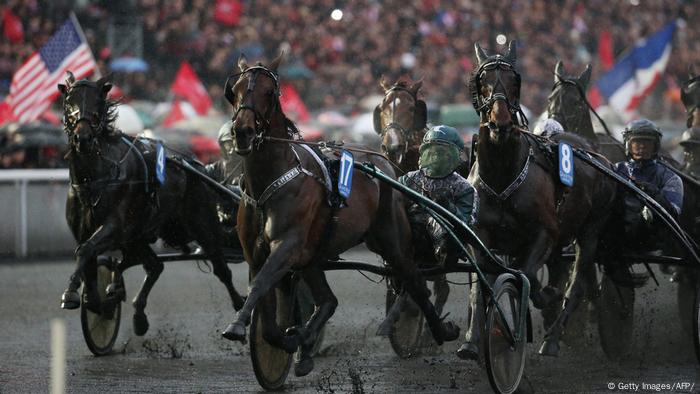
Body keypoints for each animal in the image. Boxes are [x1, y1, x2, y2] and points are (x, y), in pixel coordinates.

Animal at [60, 73, 246, 336]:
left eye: (97, 101)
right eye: (69, 101)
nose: (83, 138)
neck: (94, 179)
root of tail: (195, 167)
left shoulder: (114, 226)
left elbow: (86, 250)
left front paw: (72, 294)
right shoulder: (85, 230)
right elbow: (86, 256)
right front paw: (96, 299)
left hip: (200, 225)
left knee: (221, 268)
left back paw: (240, 307)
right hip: (142, 234)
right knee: (153, 265)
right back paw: (135, 311)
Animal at [219, 54, 460, 376]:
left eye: (269, 92)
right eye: (235, 90)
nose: (243, 132)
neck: (271, 180)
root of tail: (383, 164)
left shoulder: (287, 245)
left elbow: (261, 286)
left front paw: (238, 326)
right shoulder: (257, 254)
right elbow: (268, 317)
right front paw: (291, 339)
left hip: (391, 240)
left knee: (416, 284)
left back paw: (439, 331)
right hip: (314, 254)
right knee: (328, 301)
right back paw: (306, 345)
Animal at [460, 41, 616, 358]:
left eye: (514, 81)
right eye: (483, 80)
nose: (500, 123)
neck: (503, 174)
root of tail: (596, 154)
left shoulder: (545, 232)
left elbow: (528, 276)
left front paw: (546, 297)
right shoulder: (480, 234)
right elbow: (479, 285)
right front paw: (471, 340)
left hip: (591, 229)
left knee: (577, 283)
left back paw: (553, 336)